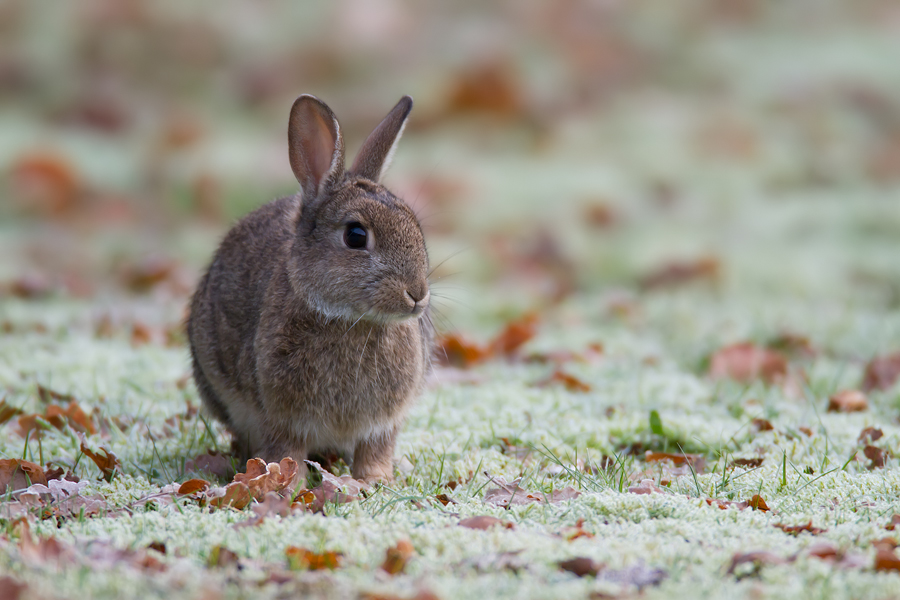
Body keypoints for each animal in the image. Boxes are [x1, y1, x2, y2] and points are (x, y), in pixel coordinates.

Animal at [187, 96, 432, 486]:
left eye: (415, 226)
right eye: (356, 235)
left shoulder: (384, 423)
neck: (350, 320)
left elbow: (375, 449)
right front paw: (290, 483)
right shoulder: (281, 417)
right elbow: (287, 449)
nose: (418, 294)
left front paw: (376, 480)